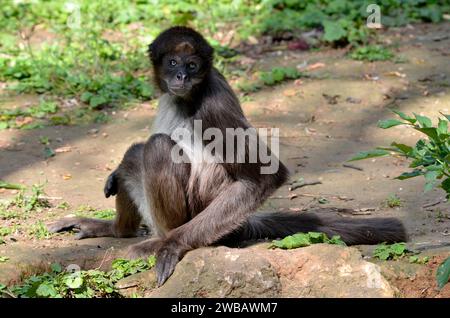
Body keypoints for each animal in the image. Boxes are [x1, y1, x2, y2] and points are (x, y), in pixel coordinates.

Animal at [49, 26, 408, 286]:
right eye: (172, 63)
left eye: (192, 66)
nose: (181, 77)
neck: (188, 97)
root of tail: (239, 226)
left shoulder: (214, 105)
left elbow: (265, 177)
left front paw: (171, 247)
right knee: (135, 152)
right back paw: (117, 229)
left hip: (199, 217)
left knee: (157, 147)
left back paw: (160, 240)